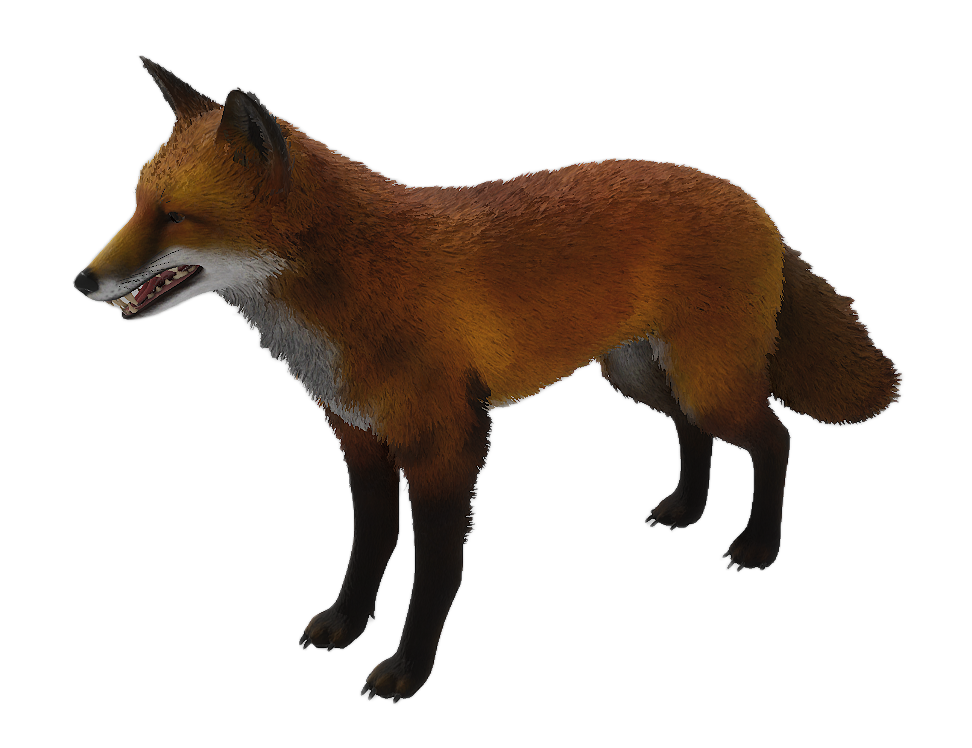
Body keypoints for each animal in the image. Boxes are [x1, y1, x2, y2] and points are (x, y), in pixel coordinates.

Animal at [73, 56, 903, 703]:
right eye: (136, 204)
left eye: (176, 217)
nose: (82, 281)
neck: (346, 293)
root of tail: (753, 200)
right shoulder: (361, 440)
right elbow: (369, 547)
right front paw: (345, 624)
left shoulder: (449, 445)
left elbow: (436, 573)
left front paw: (407, 670)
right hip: (638, 374)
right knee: (693, 434)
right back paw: (686, 509)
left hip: (708, 381)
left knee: (774, 439)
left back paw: (758, 544)